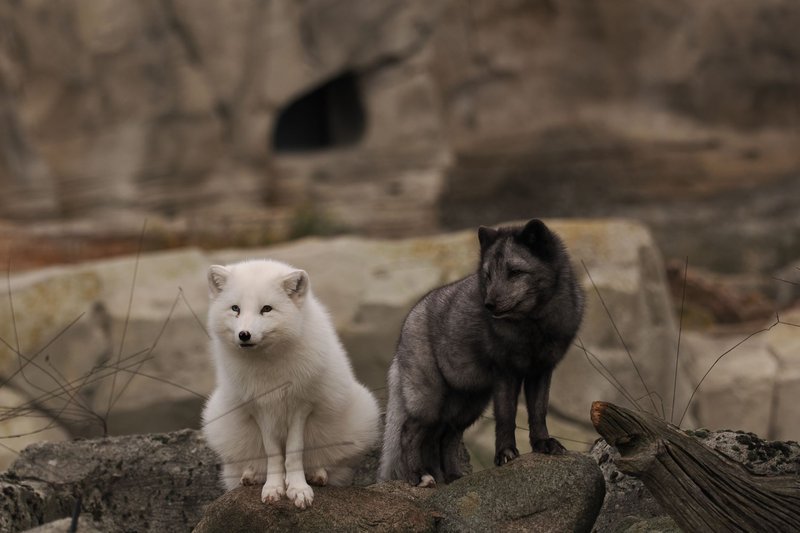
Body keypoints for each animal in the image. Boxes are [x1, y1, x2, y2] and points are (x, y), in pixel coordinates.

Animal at [201, 259, 381, 509]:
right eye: (235, 308)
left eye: (266, 309)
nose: (244, 335)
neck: (269, 367)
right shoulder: (261, 409)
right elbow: (273, 454)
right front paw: (274, 488)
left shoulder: (301, 406)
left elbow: (294, 452)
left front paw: (298, 489)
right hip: (216, 419)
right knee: (246, 466)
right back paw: (251, 475)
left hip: (364, 412)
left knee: (331, 466)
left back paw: (317, 474)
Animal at [379, 219, 584, 486]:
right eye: (487, 276)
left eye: (515, 272)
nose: (489, 305)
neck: (532, 326)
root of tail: (407, 322)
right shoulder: (506, 372)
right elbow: (506, 416)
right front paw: (506, 454)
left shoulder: (541, 370)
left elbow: (539, 411)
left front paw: (543, 444)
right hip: (430, 401)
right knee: (409, 433)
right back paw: (419, 476)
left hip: (467, 404)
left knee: (445, 437)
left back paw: (453, 477)